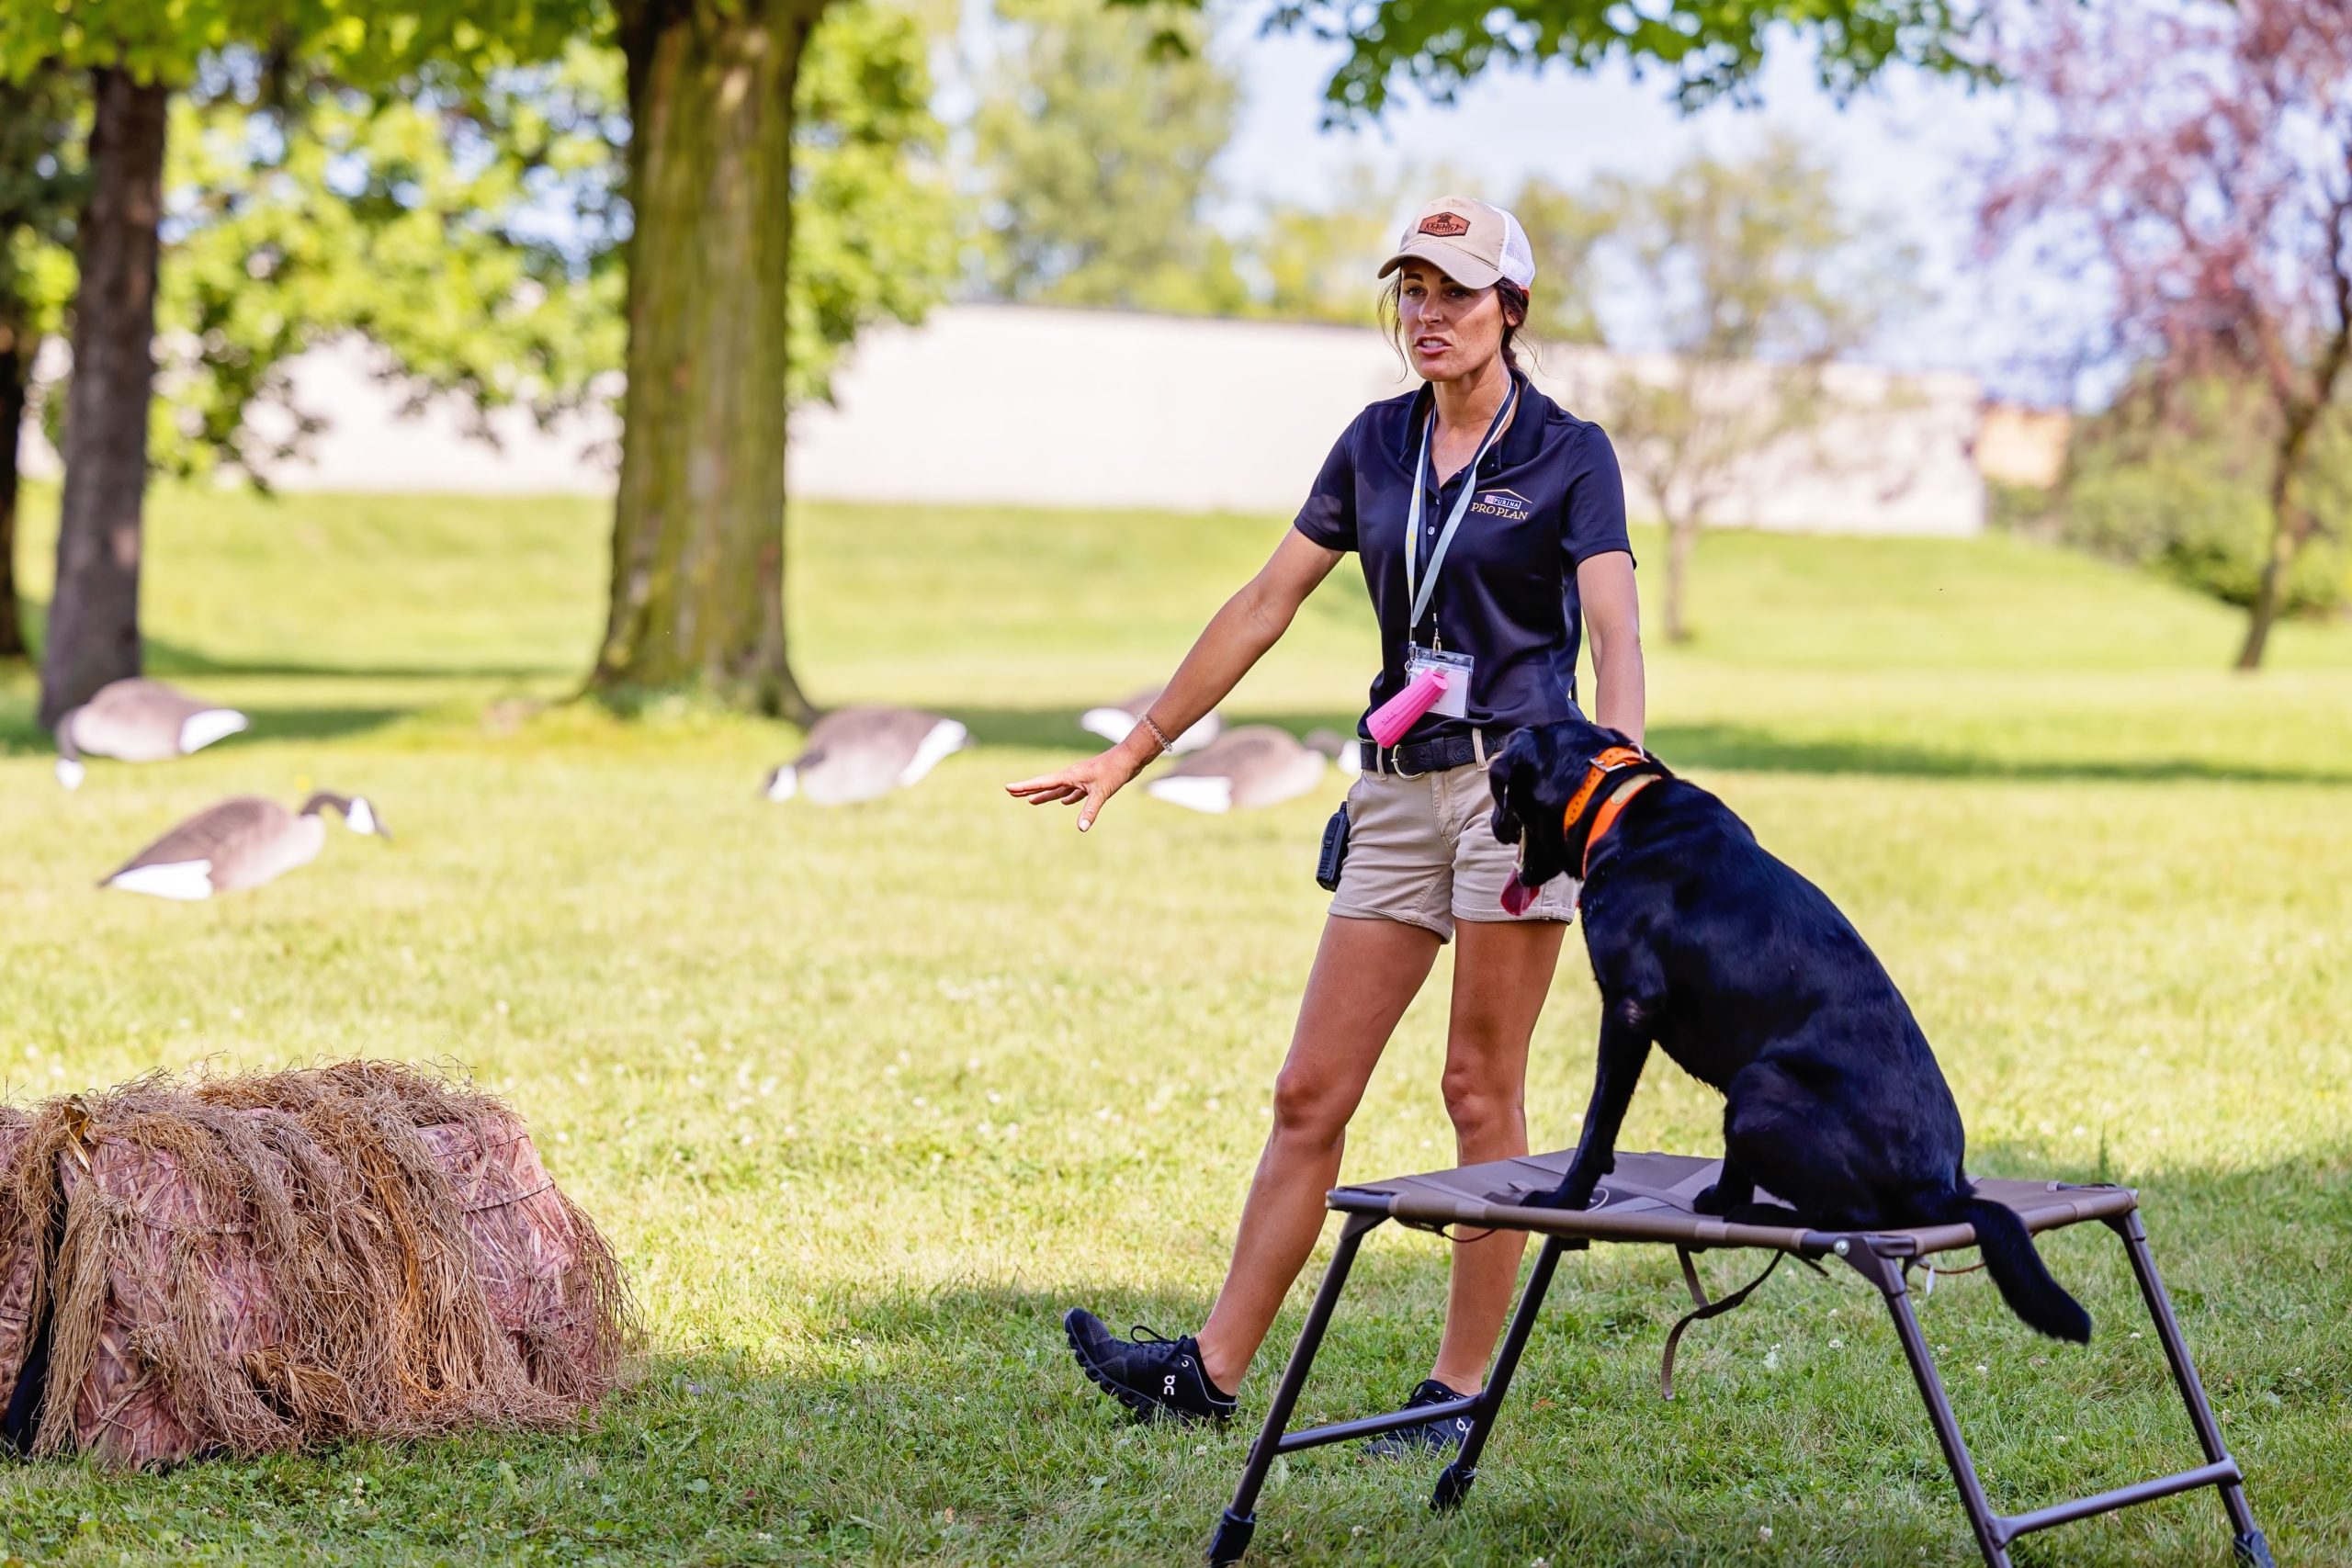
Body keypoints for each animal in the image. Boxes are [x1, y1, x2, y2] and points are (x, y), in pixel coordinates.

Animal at [1496, 719, 2088, 1344]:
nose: (1492, 824)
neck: (1619, 802)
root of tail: (1944, 1187)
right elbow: (1725, 1161)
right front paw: (1717, 1199)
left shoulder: (1631, 1007)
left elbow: (1597, 1126)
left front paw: (1563, 1198)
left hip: (1759, 1088)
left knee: (1859, 1218)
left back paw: (1764, 1213)